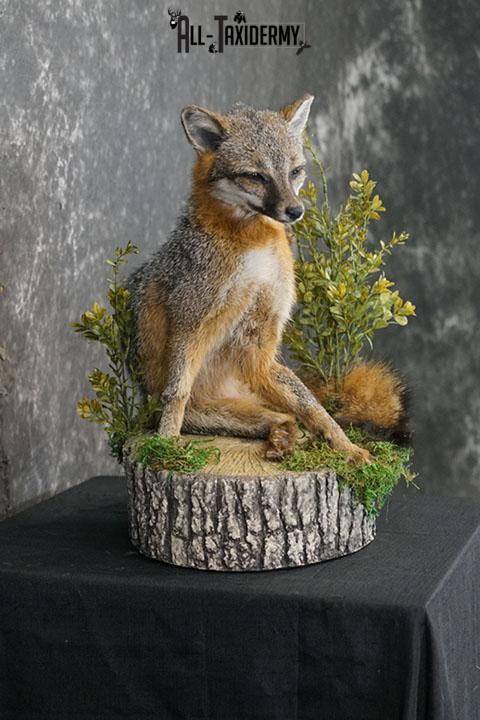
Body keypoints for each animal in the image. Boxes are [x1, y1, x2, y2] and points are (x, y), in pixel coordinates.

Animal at [127, 94, 408, 464]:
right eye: (255, 176)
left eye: (295, 172)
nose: (295, 211)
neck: (255, 250)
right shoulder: (191, 320)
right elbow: (177, 392)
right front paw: (167, 444)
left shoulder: (259, 340)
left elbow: (313, 406)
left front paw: (347, 447)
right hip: (200, 405)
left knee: (289, 411)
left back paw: (287, 437)